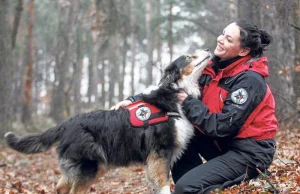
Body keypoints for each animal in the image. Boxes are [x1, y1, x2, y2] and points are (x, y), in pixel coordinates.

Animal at [4, 49, 211, 193]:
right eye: (188, 56)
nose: (209, 49)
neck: (173, 94)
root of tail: (65, 124)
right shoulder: (160, 153)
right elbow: (163, 184)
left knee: (61, 187)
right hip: (89, 167)